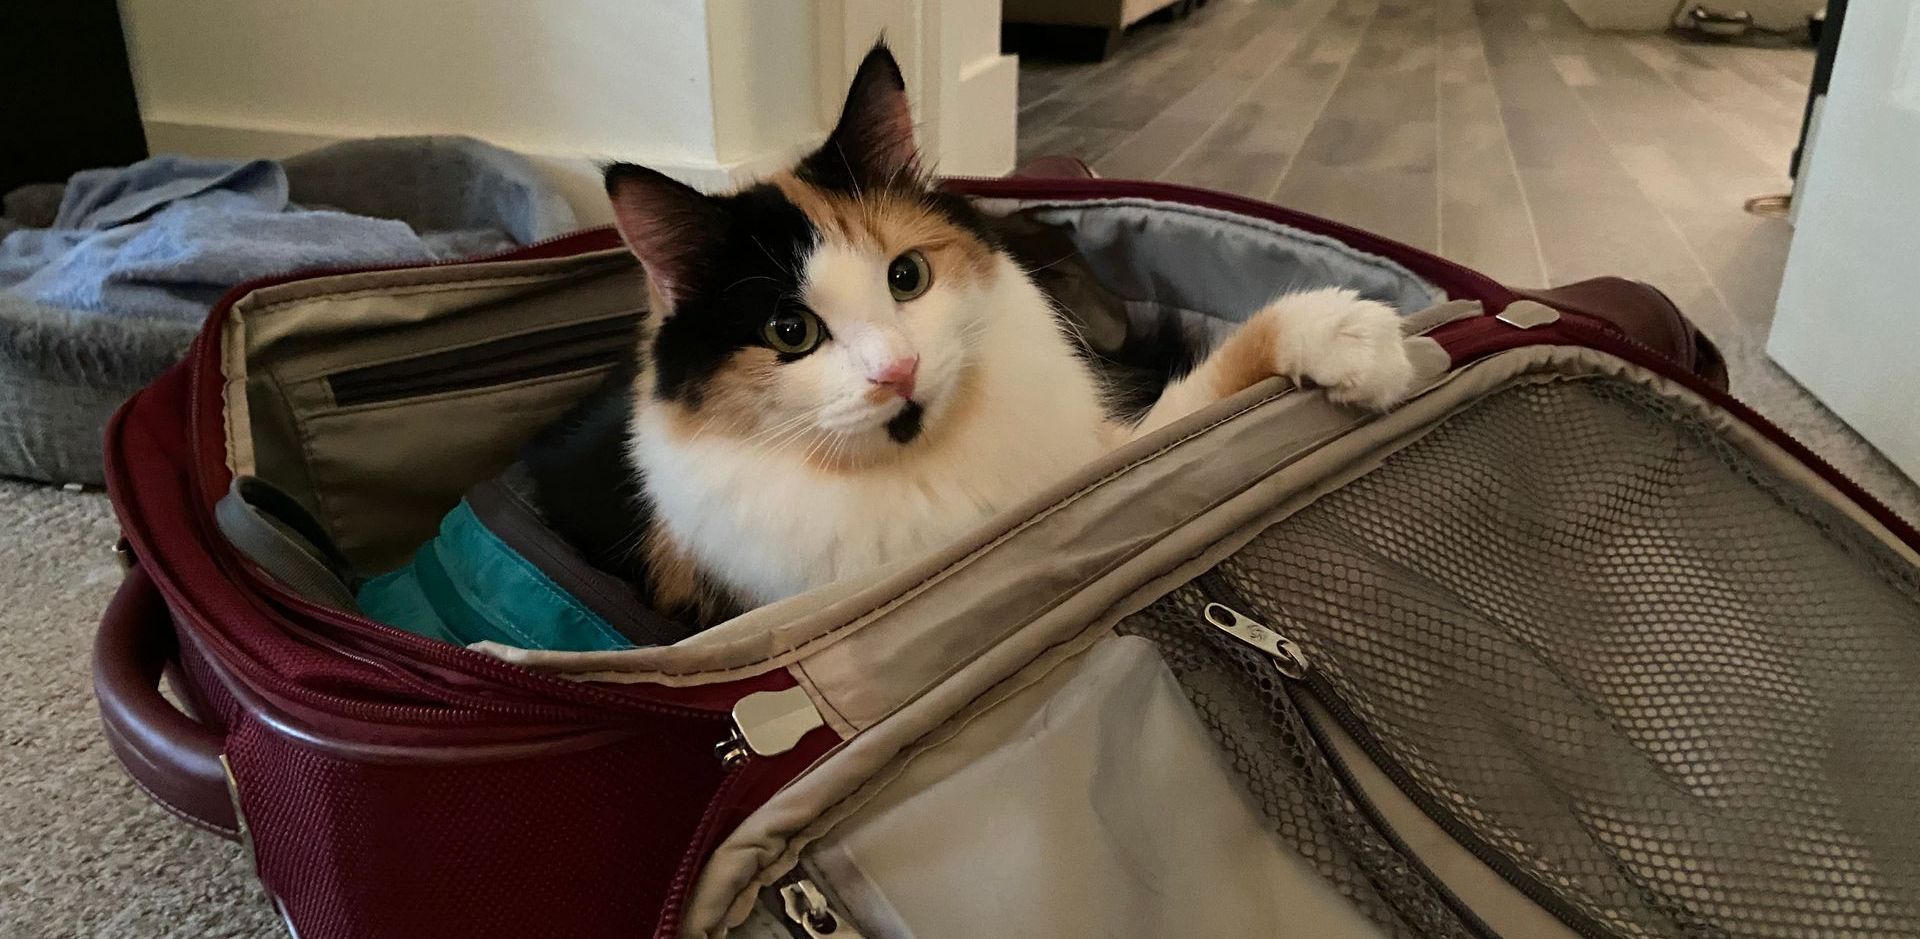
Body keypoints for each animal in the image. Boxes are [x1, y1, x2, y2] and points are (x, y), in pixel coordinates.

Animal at [524, 43, 1414, 631]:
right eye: (790, 331)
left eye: (907, 276)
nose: (899, 370)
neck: (926, 463)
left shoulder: (1101, 453)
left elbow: (1208, 389)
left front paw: (1352, 336)